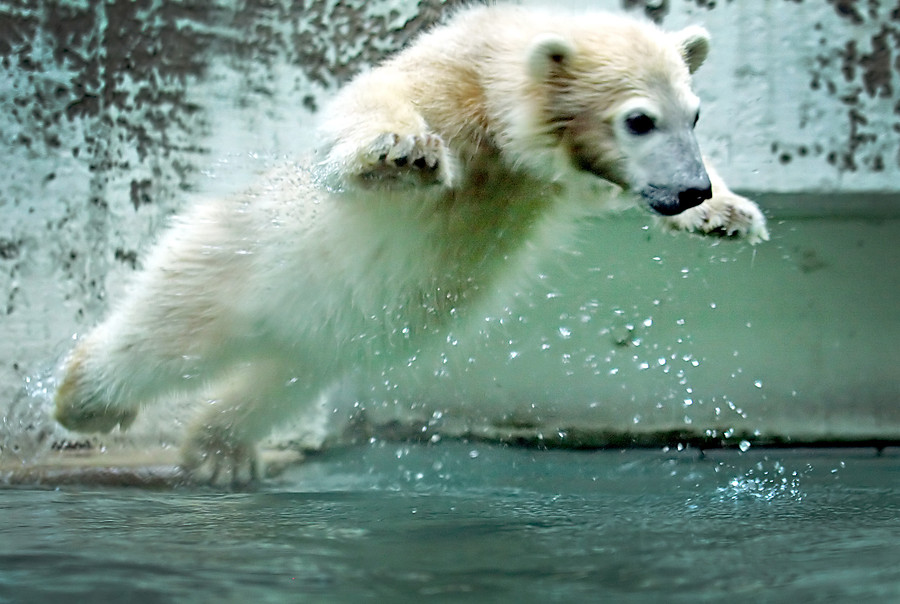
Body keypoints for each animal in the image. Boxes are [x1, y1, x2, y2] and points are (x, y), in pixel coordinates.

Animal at [53, 4, 768, 484]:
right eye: (638, 120)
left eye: (695, 114)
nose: (690, 190)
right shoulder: (456, 78)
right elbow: (374, 99)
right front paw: (403, 150)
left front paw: (729, 214)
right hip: (237, 260)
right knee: (168, 334)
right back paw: (87, 401)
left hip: (318, 341)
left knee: (273, 381)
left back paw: (220, 453)